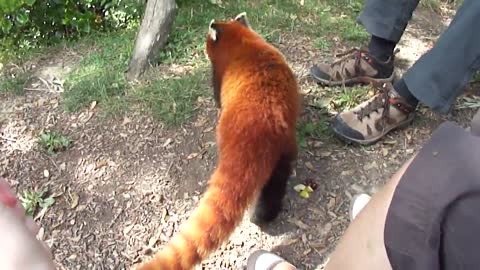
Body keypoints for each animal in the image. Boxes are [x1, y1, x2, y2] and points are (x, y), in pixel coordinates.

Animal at [136, 12, 300, 270]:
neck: (244, 42)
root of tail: (262, 128)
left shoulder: (220, 71)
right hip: (284, 149)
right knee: (275, 184)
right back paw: (265, 215)